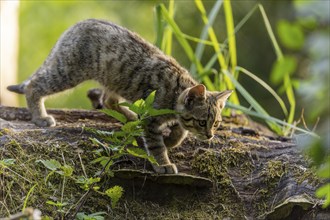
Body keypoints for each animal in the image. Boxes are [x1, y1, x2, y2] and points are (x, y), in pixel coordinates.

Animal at [6, 18, 231, 174]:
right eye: (202, 122)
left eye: (216, 123)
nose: (210, 135)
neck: (176, 93)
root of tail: (77, 25)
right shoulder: (151, 118)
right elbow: (156, 144)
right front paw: (163, 162)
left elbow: (179, 132)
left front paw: (171, 140)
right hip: (69, 71)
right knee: (34, 85)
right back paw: (40, 117)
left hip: (113, 80)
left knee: (108, 101)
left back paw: (130, 118)